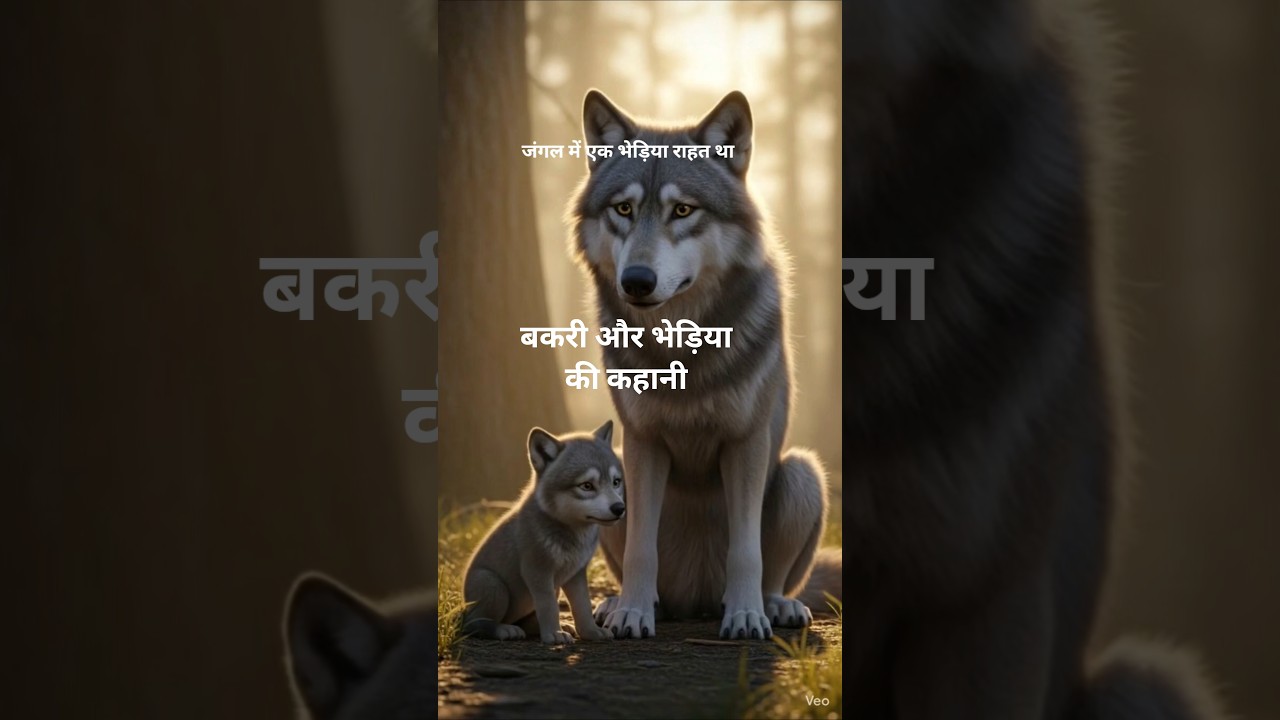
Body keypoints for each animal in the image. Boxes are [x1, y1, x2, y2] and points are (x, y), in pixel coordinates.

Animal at [461, 420, 622, 644]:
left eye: (616, 482)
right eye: (587, 486)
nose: (620, 508)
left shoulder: (576, 574)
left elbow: (582, 607)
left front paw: (590, 632)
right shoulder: (537, 571)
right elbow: (549, 607)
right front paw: (554, 634)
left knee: (526, 623)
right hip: (493, 585)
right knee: (475, 625)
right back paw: (504, 629)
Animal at [568, 89, 841, 641]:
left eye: (682, 210)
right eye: (624, 208)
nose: (637, 280)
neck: (679, 345)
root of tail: (694, 602)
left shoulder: (747, 441)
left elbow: (747, 551)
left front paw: (746, 617)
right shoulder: (642, 441)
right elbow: (641, 547)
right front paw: (633, 613)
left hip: (803, 472)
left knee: (778, 577)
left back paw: (775, 606)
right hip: (615, 465)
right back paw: (623, 604)